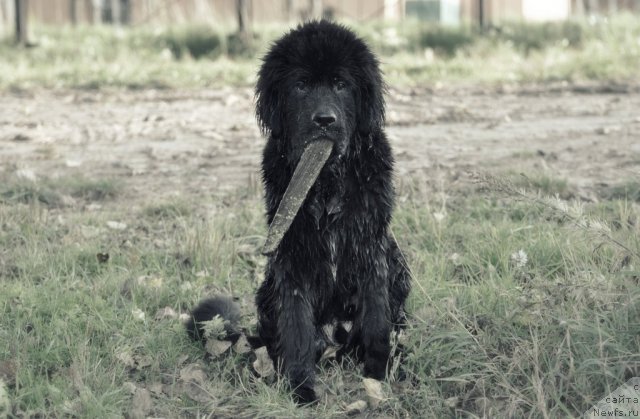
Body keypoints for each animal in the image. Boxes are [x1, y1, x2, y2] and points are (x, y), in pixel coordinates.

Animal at [190, 20, 410, 406]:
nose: (324, 121)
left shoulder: (371, 246)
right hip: (267, 290)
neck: (326, 181)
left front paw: (377, 375)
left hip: (398, 265)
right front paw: (301, 387)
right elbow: (297, 328)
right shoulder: (291, 256)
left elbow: (376, 318)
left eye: (341, 84)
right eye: (301, 85)